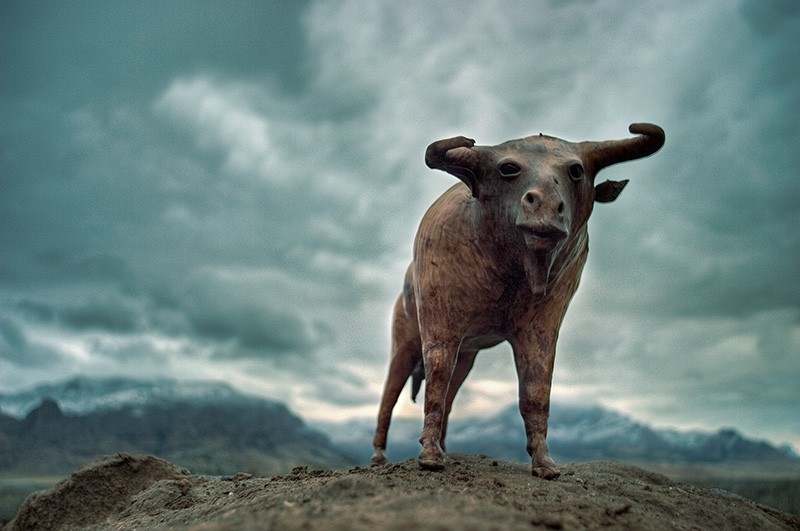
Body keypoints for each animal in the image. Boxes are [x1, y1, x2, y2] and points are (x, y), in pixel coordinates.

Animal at [371, 123, 665, 478]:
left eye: (576, 170)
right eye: (508, 168)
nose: (545, 206)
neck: (510, 268)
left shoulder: (542, 325)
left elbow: (536, 389)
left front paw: (544, 462)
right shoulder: (440, 323)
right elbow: (437, 376)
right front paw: (428, 455)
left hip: (467, 355)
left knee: (451, 395)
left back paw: (444, 447)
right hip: (405, 340)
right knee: (391, 393)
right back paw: (380, 454)